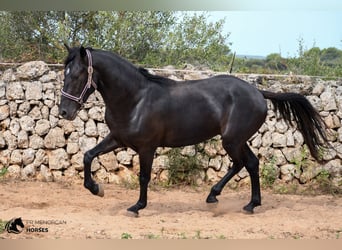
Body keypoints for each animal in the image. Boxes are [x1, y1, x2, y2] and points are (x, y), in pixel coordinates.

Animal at [58, 45, 328, 215]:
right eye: (65, 73)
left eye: (79, 74)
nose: (64, 112)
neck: (135, 99)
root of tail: (258, 93)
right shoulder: (118, 139)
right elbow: (88, 155)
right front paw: (96, 189)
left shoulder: (147, 147)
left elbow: (143, 177)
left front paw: (137, 207)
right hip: (238, 140)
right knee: (251, 164)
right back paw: (249, 204)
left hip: (232, 140)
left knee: (242, 164)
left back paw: (216, 197)